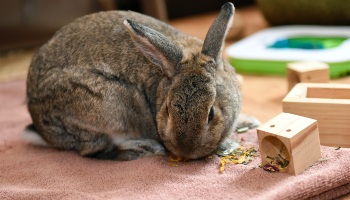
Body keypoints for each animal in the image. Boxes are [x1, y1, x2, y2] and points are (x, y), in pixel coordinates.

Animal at [23, 1, 258, 161]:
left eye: (211, 113)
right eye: (167, 109)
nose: (186, 151)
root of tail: (41, 128)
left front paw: (249, 122)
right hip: (110, 106)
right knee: (94, 150)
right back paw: (145, 148)